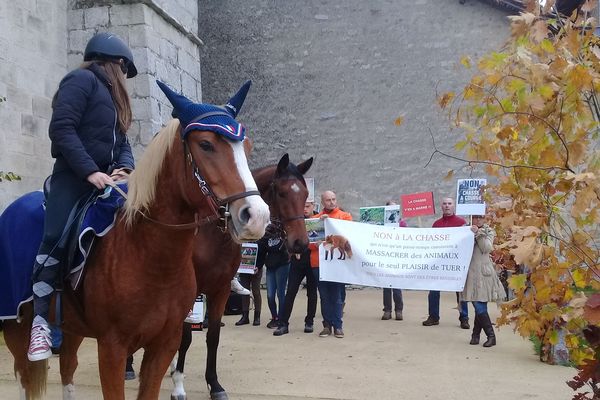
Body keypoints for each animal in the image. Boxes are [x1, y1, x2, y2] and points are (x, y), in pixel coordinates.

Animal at [0, 83, 270, 396]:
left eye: (246, 147)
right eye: (206, 144)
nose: (256, 215)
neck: (148, 256)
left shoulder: (164, 344)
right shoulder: (112, 349)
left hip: (72, 327)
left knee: (67, 365)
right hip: (16, 326)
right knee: (25, 375)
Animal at [168, 153, 312, 400]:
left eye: (304, 194)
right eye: (282, 193)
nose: (300, 243)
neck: (212, 233)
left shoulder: (220, 289)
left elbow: (213, 337)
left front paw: (214, 385)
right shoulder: (191, 292)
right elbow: (186, 338)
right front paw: (178, 386)